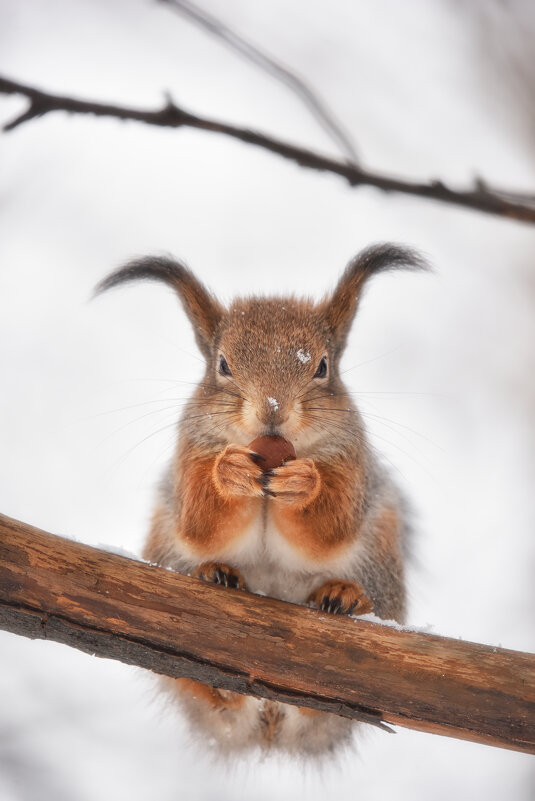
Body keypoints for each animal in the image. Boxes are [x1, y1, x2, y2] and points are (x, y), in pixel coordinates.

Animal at [95, 244, 422, 756]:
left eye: (322, 367)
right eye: (223, 365)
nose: (272, 411)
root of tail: (270, 722)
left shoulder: (351, 463)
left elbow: (331, 528)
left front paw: (305, 482)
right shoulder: (191, 453)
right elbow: (199, 520)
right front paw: (229, 472)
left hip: (380, 559)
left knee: (326, 700)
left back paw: (344, 596)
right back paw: (218, 589)